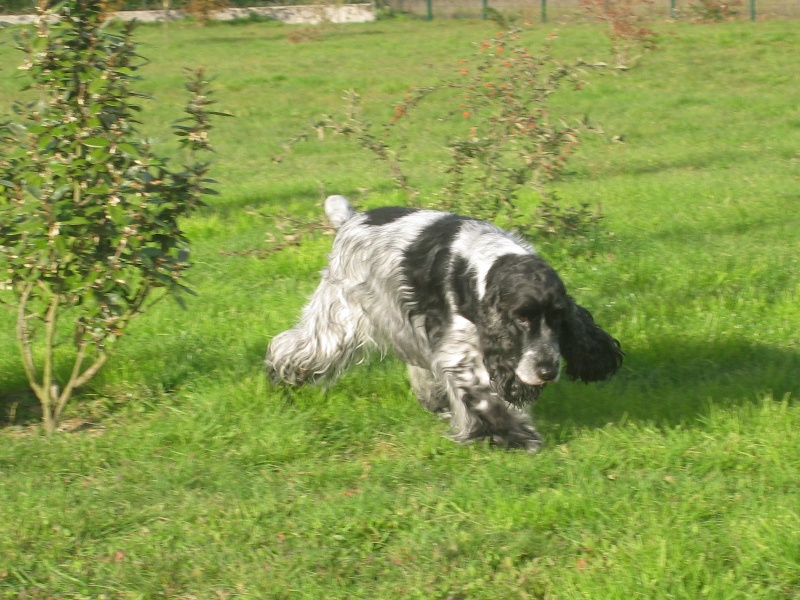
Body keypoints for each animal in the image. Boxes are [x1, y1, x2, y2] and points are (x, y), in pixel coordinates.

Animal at [266, 196, 620, 450]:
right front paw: (515, 436)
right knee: (294, 347)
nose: (548, 371)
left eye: (559, 317)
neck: (483, 268)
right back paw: (279, 378)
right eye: (521, 317)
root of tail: (351, 218)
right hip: (341, 320)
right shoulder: (461, 352)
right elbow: (483, 397)